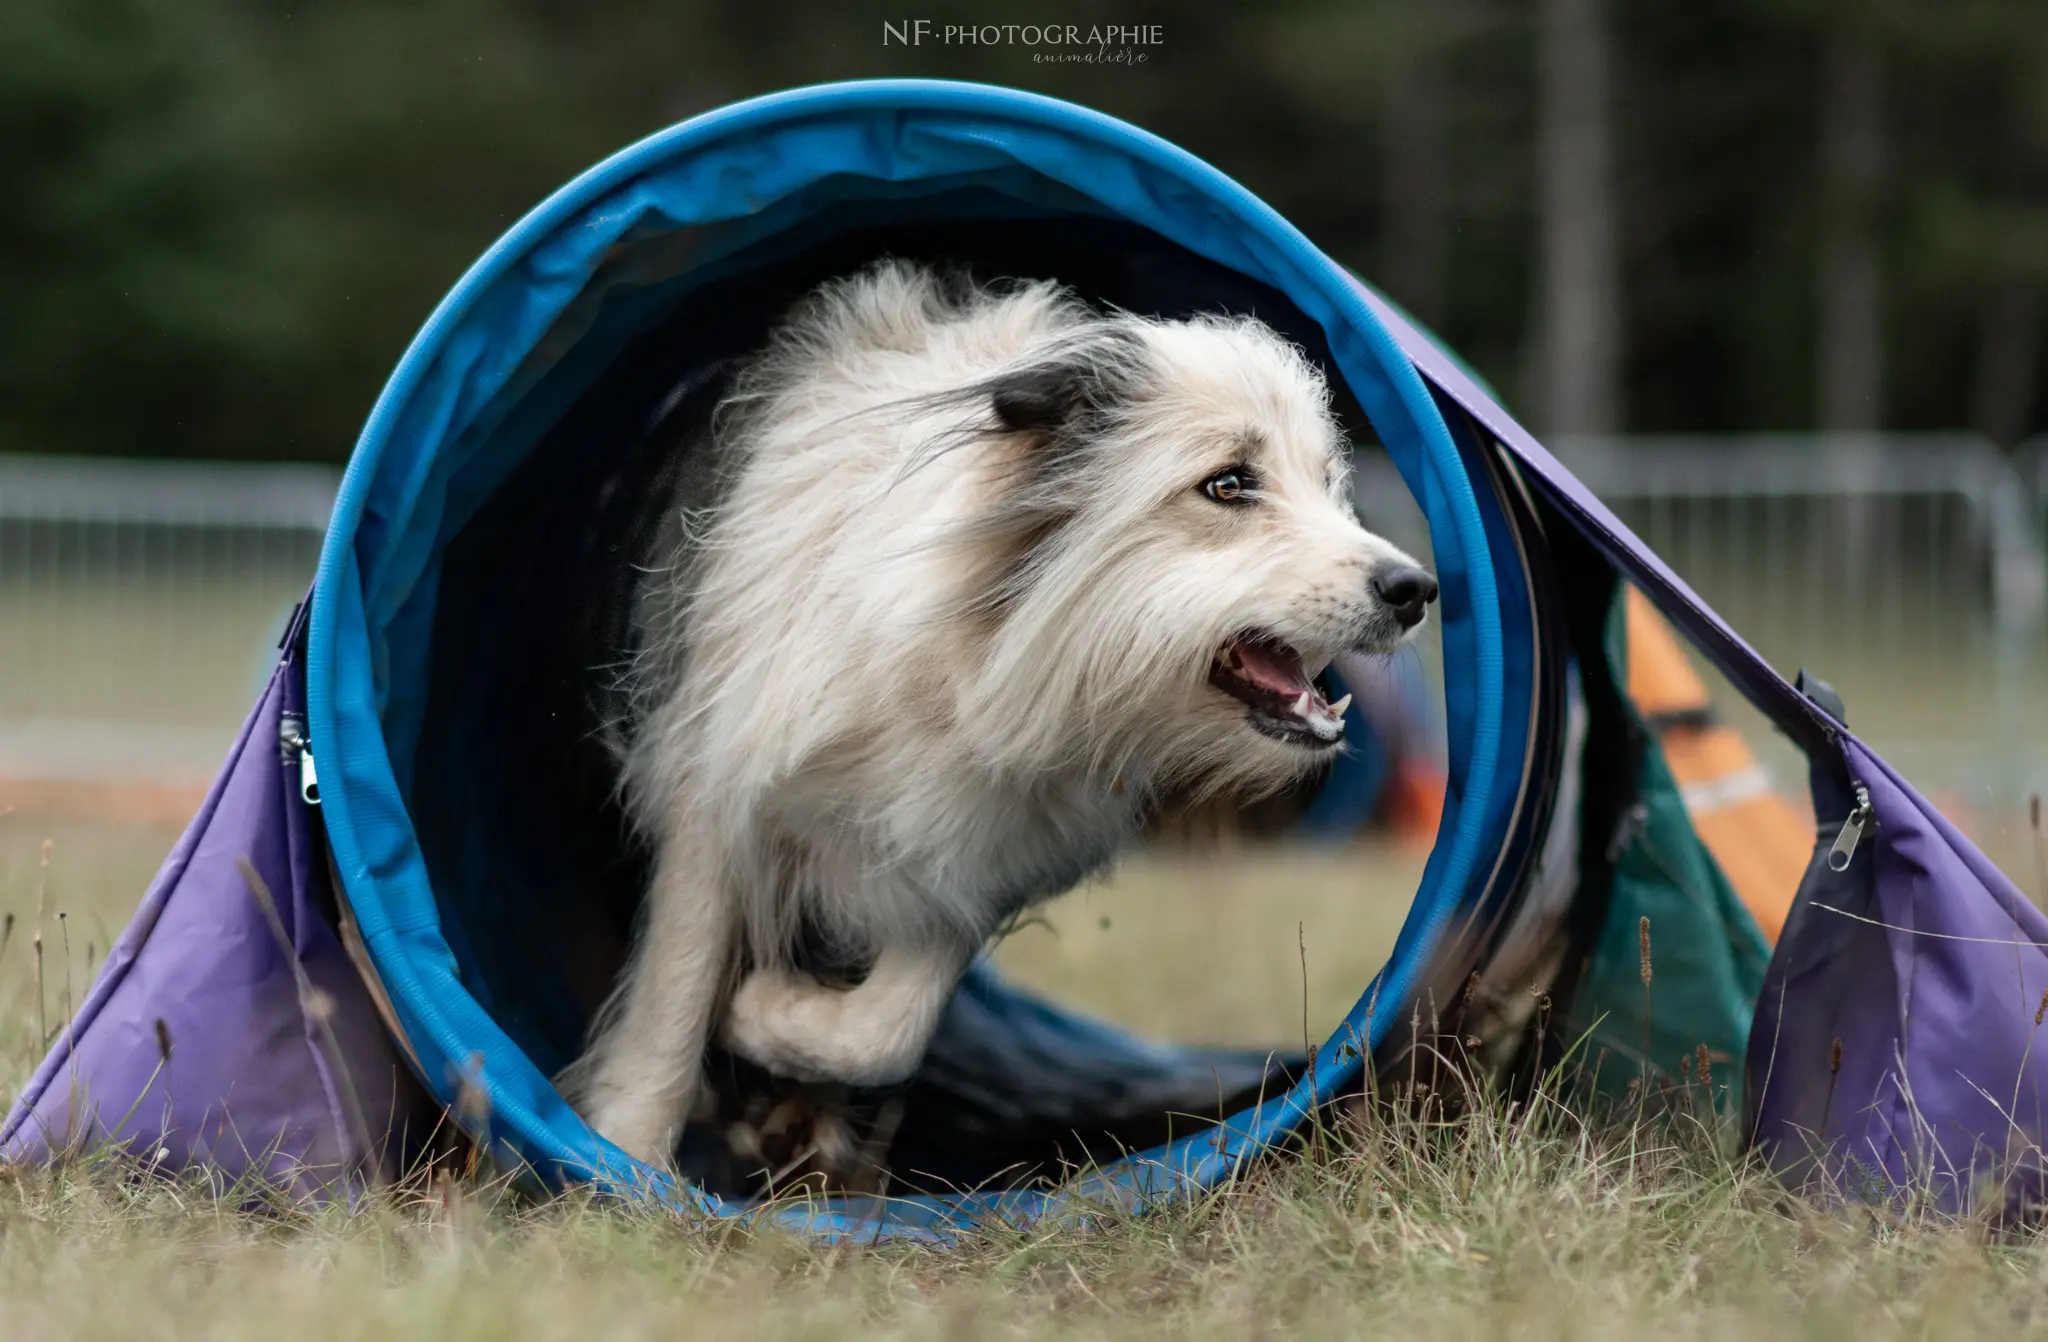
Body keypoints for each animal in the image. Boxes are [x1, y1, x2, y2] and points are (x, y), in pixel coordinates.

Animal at [552, 262, 1433, 1163]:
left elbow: (886, 1027)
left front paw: (765, 1018)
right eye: (1227, 484)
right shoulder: (712, 792)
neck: (971, 661)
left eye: (1327, 483)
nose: (1417, 590)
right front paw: (626, 1155)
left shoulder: (973, 848)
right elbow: (677, 991)